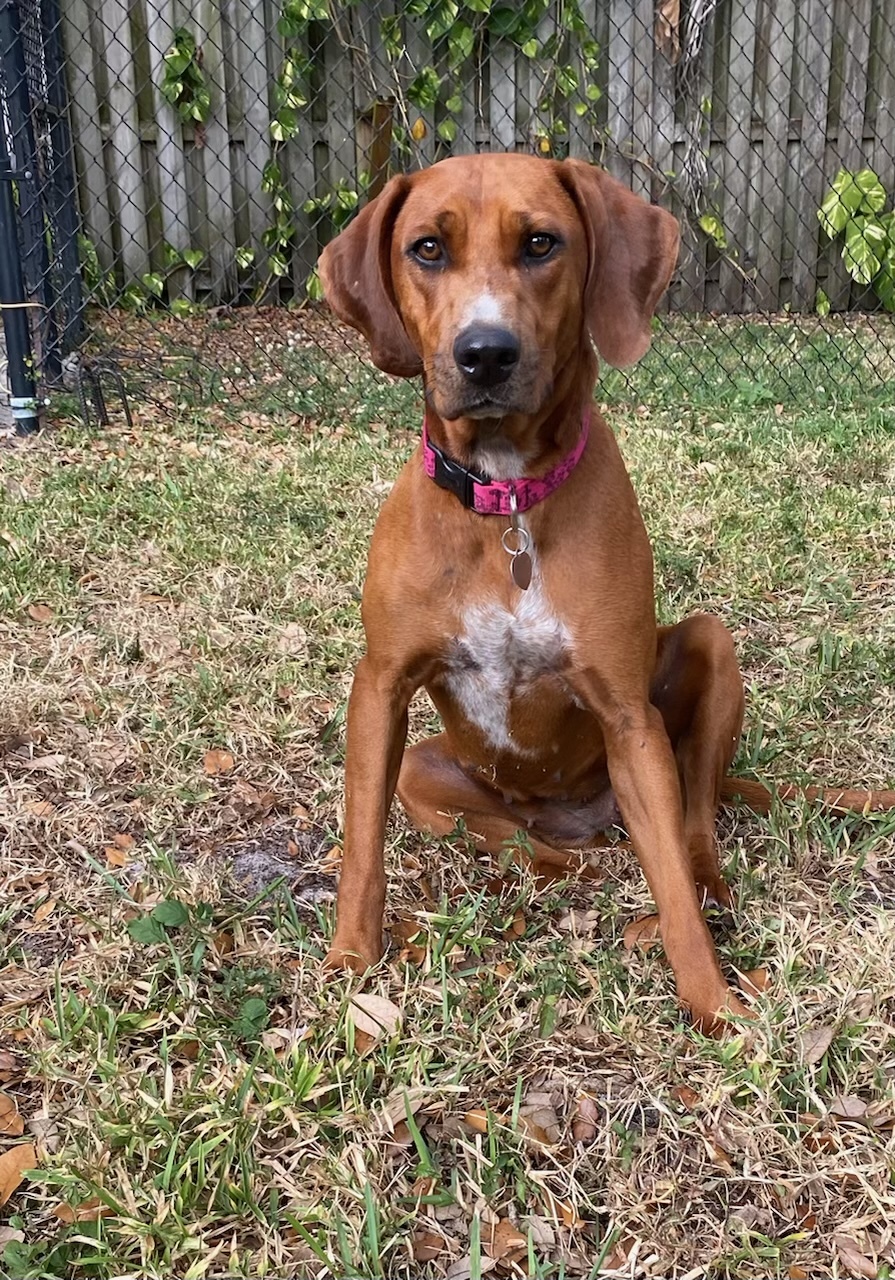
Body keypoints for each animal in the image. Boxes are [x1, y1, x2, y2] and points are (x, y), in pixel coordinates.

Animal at [316, 152, 895, 1029]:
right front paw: (352, 960)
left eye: (539, 243)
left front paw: (714, 1004)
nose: (485, 353)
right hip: (432, 772)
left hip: (704, 661)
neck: (507, 504)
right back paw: (547, 871)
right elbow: (360, 846)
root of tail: (574, 814)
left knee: (692, 827)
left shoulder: (628, 719)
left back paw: (697, 886)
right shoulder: (378, 688)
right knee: (522, 843)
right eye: (426, 249)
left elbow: (677, 887)